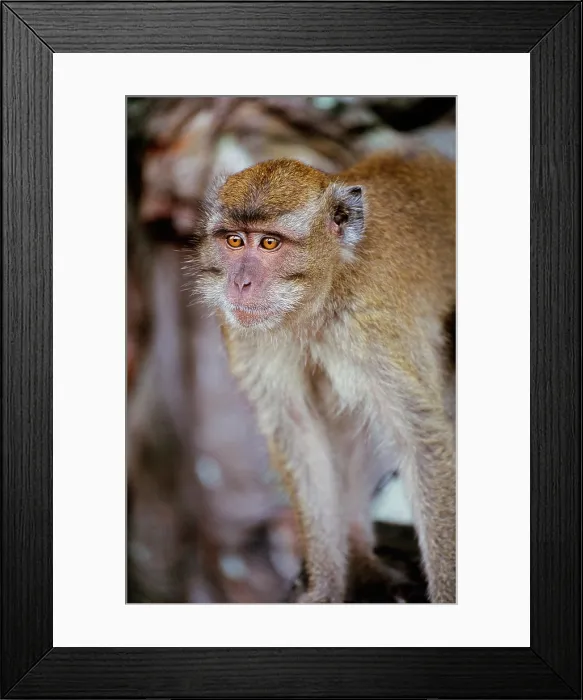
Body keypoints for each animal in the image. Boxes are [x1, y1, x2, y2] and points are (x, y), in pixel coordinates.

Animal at [188, 150, 456, 603]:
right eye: (234, 241)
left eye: (270, 243)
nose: (239, 283)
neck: (322, 296)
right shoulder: (246, 335)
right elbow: (299, 433)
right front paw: (327, 586)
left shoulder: (372, 326)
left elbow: (421, 439)